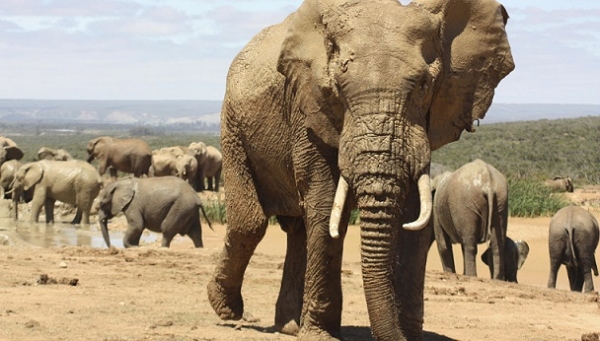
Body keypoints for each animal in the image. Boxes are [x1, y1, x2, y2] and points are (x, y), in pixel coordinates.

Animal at [207, 0, 516, 338]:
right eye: (338, 89)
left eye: (424, 86)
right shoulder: (308, 107)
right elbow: (326, 205)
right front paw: (321, 336)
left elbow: (412, 217)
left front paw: (408, 335)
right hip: (232, 126)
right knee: (250, 223)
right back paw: (227, 309)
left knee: (296, 229)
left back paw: (288, 325)